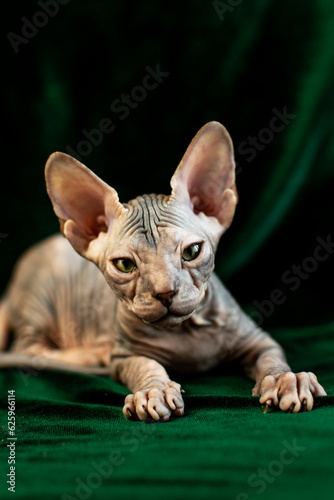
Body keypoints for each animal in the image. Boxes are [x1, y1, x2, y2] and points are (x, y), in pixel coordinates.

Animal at [0, 122, 324, 422]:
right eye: (125, 265)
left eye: (192, 252)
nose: (166, 292)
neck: (186, 332)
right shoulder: (124, 355)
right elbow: (144, 364)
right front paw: (153, 391)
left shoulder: (258, 339)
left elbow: (271, 357)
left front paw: (286, 380)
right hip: (40, 299)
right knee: (28, 348)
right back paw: (92, 354)